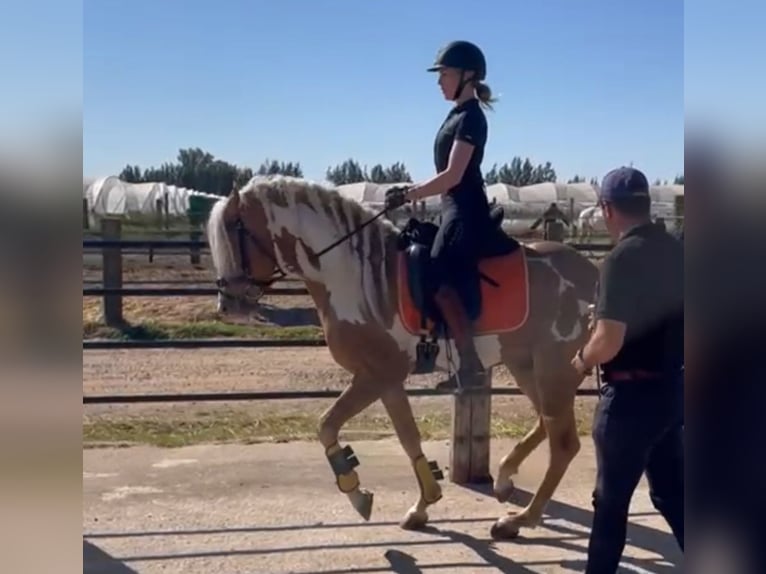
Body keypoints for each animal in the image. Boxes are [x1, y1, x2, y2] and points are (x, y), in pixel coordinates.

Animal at [207, 176, 604, 540]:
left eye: (234, 231)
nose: (228, 304)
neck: (356, 276)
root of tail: (594, 274)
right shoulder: (385, 379)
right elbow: (396, 435)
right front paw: (415, 502)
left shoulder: (376, 375)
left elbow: (337, 426)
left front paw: (361, 493)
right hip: (526, 365)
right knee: (546, 424)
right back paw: (506, 479)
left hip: (552, 369)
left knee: (564, 443)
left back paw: (518, 520)